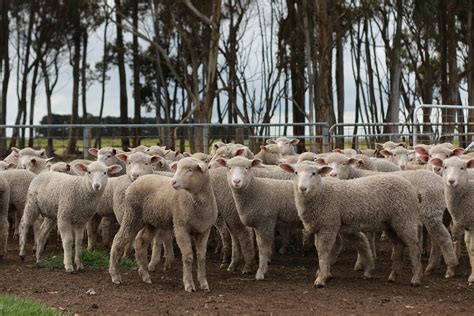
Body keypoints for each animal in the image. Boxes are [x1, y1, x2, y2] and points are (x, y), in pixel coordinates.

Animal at [108, 157, 218, 292]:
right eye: (177, 168)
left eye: (190, 170)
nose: (173, 183)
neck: (196, 203)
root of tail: (137, 180)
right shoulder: (180, 227)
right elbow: (188, 257)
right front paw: (189, 284)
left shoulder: (204, 230)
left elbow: (201, 257)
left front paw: (204, 283)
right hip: (132, 215)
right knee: (118, 240)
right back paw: (115, 275)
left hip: (150, 221)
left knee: (140, 241)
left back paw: (145, 275)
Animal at [282, 162, 422, 288]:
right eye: (295, 172)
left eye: (314, 173)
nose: (302, 189)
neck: (320, 193)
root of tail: (411, 188)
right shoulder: (320, 226)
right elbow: (322, 250)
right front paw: (325, 273)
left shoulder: (328, 225)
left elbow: (323, 252)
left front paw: (321, 279)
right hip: (390, 224)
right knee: (399, 246)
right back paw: (393, 276)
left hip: (405, 218)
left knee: (414, 246)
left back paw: (415, 278)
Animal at [432, 157, 474, 286]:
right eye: (445, 167)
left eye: (462, 168)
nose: (451, 181)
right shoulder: (467, 224)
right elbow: (469, 248)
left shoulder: (473, 225)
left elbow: (472, 248)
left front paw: (473, 277)